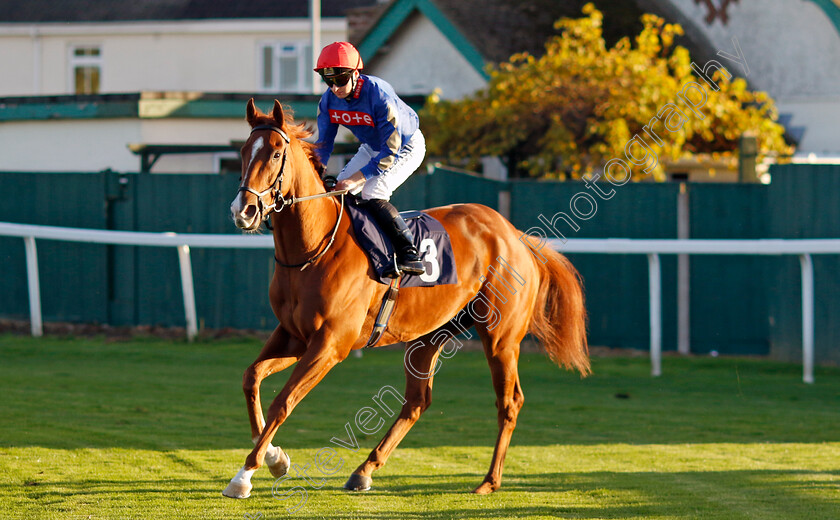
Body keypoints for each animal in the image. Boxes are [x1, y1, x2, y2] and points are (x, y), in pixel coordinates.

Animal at [223, 98, 592, 500]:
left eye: (276, 153)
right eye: (243, 151)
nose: (243, 210)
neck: (314, 249)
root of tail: (515, 234)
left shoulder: (331, 343)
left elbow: (283, 401)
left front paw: (245, 474)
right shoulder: (294, 334)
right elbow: (250, 378)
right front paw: (275, 458)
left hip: (501, 338)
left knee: (509, 402)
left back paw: (488, 481)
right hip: (428, 336)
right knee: (417, 402)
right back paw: (364, 470)